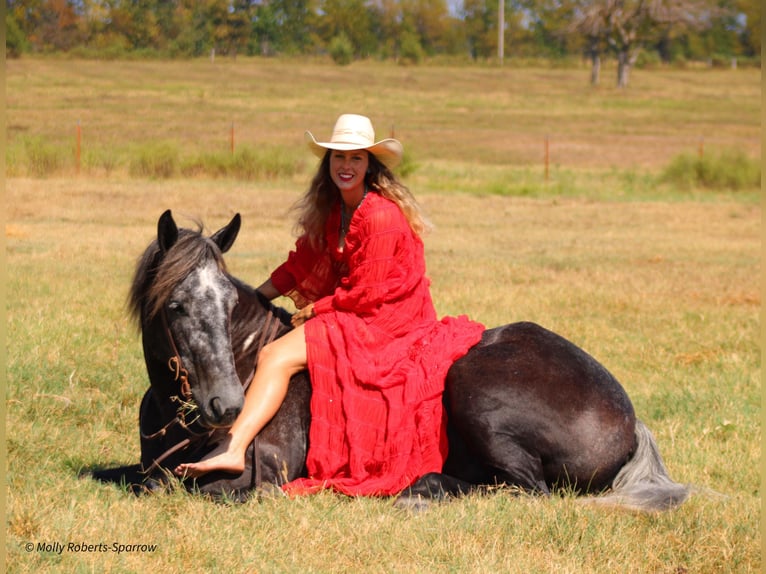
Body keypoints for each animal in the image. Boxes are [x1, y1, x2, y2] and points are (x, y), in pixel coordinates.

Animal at [93, 210, 692, 512]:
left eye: (226, 302)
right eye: (176, 305)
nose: (227, 405)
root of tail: (630, 421)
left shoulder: (246, 479)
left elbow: (174, 487)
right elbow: (129, 477)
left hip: (475, 392)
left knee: (526, 490)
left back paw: (417, 490)